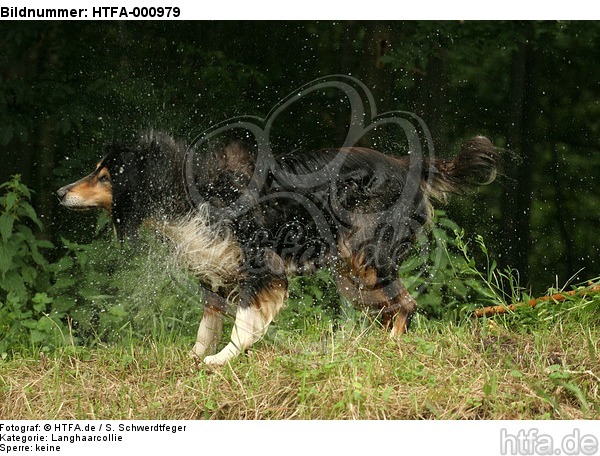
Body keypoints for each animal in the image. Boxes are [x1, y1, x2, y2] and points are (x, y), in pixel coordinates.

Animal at [57, 130, 496, 366]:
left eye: (105, 176)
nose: (59, 192)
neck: (193, 192)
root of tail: (410, 166)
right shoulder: (214, 269)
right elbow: (207, 325)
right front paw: (196, 357)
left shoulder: (263, 268)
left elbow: (244, 323)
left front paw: (222, 360)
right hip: (351, 273)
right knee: (391, 308)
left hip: (368, 258)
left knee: (405, 304)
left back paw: (388, 350)